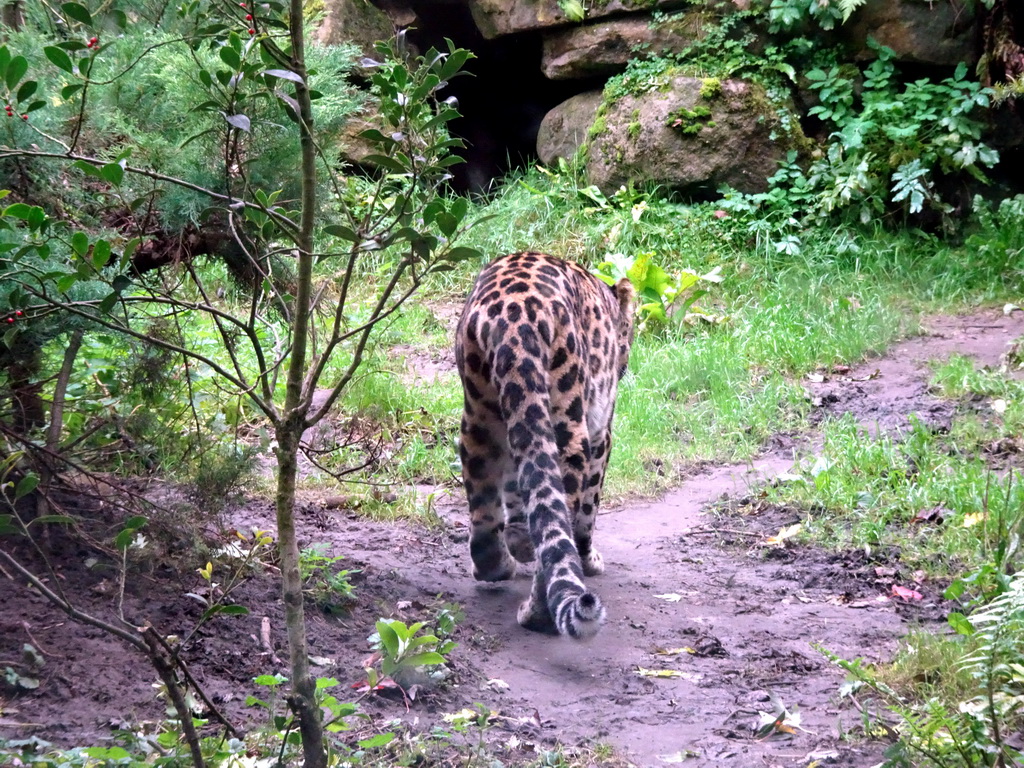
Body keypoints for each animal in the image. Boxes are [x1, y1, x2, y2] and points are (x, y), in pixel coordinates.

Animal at [454, 253, 630, 643]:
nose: (625, 363)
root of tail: (515, 315)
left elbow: (517, 488)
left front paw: (519, 539)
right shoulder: (603, 432)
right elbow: (587, 512)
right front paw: (590, 560)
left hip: (481, 413)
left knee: (486, 499)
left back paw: (496, 565)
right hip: (569, 422)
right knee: (562, 512)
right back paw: (539, 615)